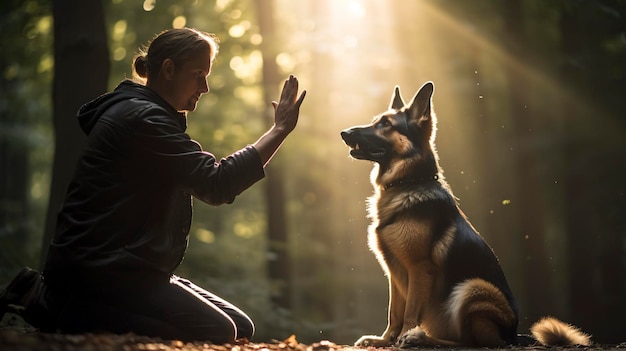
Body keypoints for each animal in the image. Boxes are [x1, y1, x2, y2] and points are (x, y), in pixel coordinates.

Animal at [338, 82, 588, 350]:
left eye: (386, 124)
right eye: (375, 121)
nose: (344, 132)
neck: (408, 183)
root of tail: (511, 335)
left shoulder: (419, 269)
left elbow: (410, 311)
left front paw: (403, 336)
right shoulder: (393, 271)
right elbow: (394, 312)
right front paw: (385, 339)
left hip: (472, 288)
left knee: (470, 342)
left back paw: (420, 337)